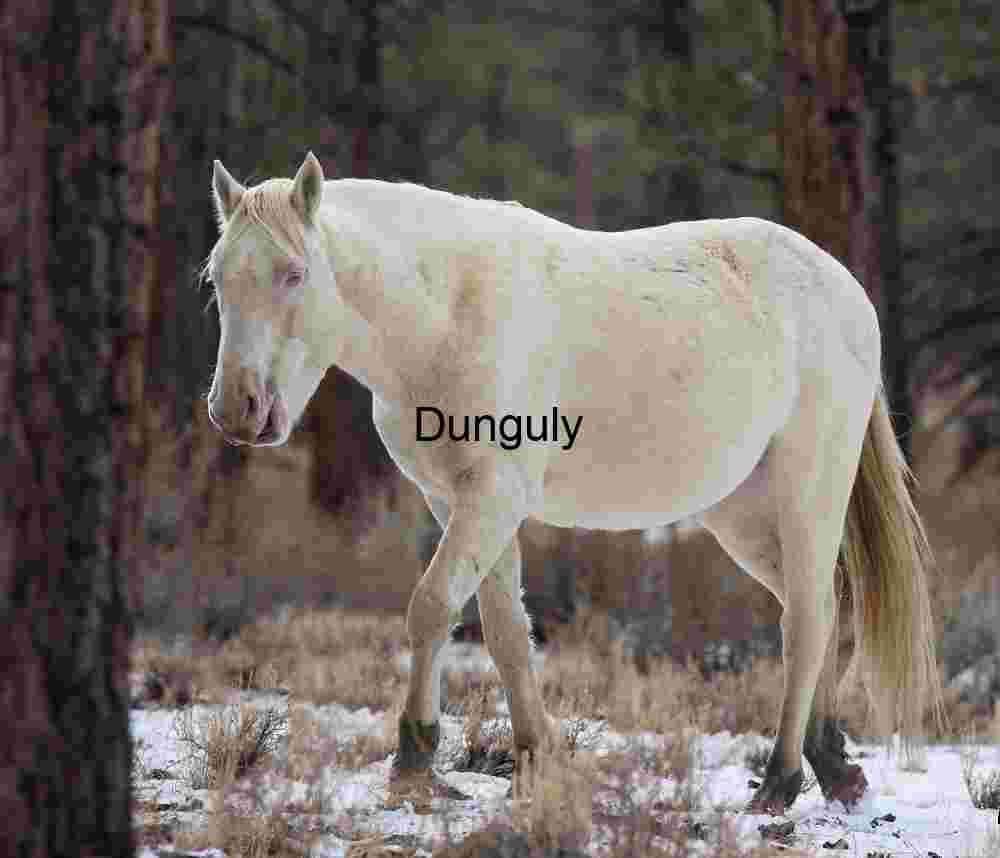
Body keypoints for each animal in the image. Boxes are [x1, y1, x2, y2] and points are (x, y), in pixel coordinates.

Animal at [204, 152, 943, 814]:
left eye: (294, 274)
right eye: (216, 281)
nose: (236, 410)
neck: (448, 315)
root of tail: (846, 291)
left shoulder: (492, 499)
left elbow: (432, 607)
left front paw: (413, 761)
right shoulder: (459, 502)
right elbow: (505, 631)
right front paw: (535, 759)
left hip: (807, 493)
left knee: (808, 618)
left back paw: (782, 779)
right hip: (742, 516)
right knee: (821, 606)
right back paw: (832, 762)